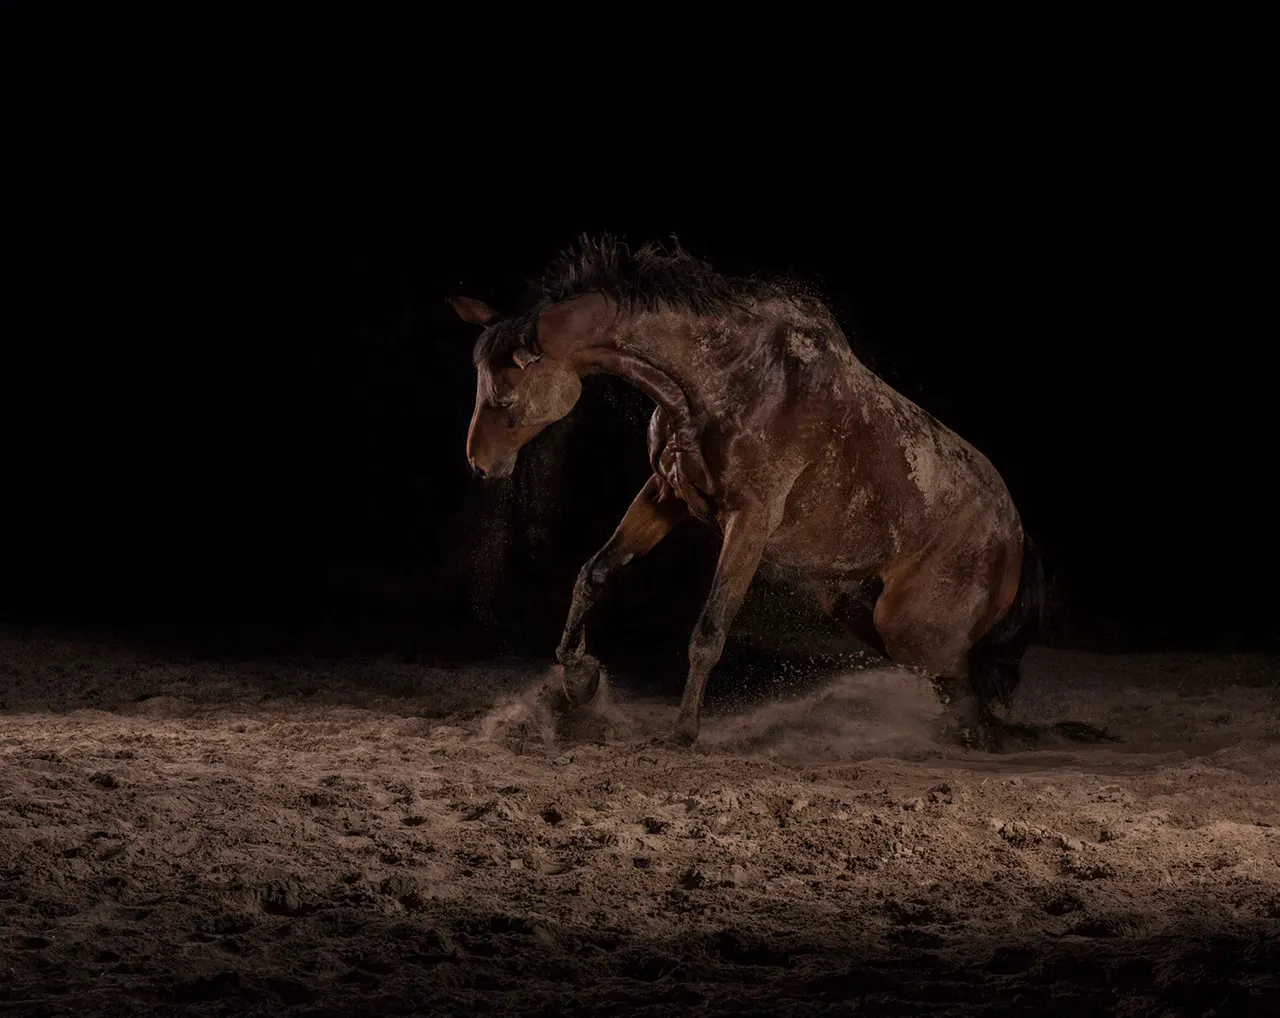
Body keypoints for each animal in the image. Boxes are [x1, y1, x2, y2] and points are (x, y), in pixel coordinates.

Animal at [451, 235, 1112, 751]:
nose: (480, 466)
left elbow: (709, 630)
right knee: (963, 689)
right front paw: (575, 681)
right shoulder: (666, 495)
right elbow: (593, 574)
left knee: (968, 690)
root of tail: (1016, 532)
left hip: (910, 627)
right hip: (854, 604)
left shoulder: (749, 522)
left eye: (505, 397)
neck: (726, 376)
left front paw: (683, 732)